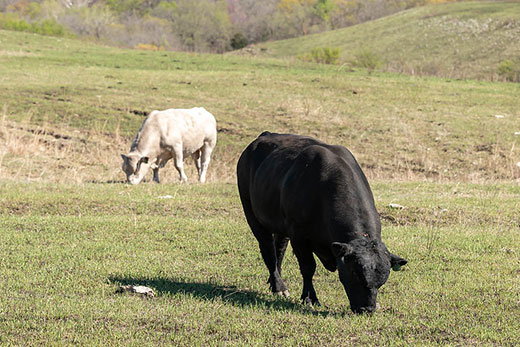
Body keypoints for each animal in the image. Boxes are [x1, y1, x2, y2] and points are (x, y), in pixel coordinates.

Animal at [238, 132, 408, 314]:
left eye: (382, 280)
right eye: (355, 273)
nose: (367, 308)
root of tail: (264, 136)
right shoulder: (299, 235)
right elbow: (308, 267)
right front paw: (310, 298)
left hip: (280, 226)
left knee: (279, 250)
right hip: (252, 214)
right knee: (268, 250)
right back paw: (279, 287)